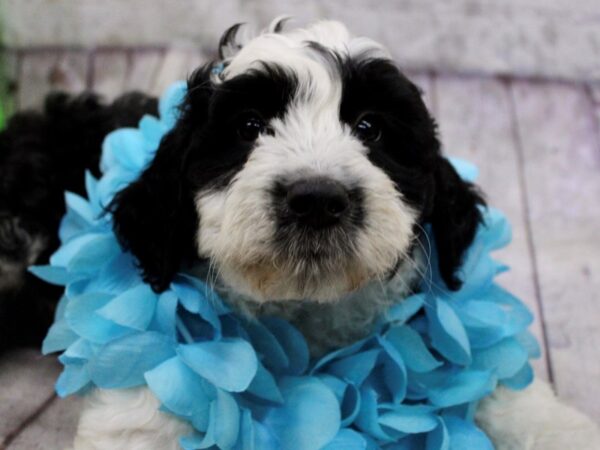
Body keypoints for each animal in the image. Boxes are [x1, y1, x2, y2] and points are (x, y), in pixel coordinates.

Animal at [58, 18, 596, 450]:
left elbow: (501, 382)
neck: (308, 310)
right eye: (249, 126)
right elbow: (140, 403)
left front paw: (559, 429)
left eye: (370, 127)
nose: (316, 200)